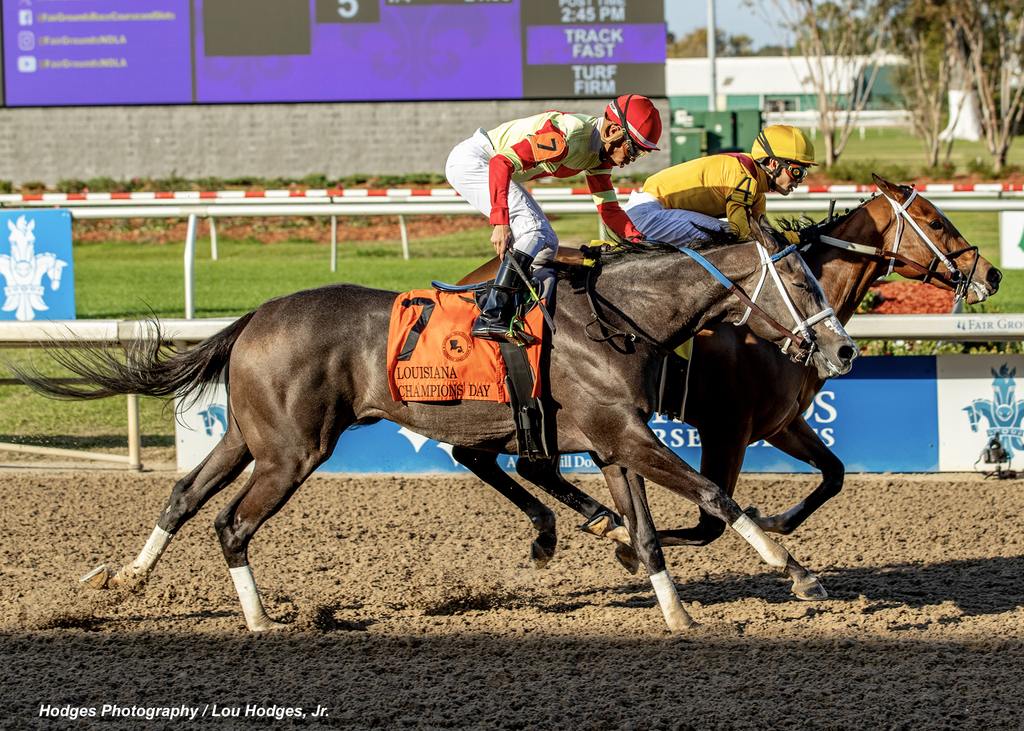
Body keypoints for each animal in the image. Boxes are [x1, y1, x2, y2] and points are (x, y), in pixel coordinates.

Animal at [16, 234, 856, 630]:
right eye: (801, 280)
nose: (844, 348)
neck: (617, 317)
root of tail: (253, 317)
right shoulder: (621, 431)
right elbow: (716, 492)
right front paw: (795, 570)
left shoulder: (614, 438)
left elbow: (649, 530)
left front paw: (674, 608)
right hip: (291, 451)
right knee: (230, 521)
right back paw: (260, 618)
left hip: (248, 437)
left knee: (186, 495)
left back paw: (127, 577)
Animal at [454, 174, 999, 565]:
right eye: (936, 221)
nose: (991, 274)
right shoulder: (726, 428)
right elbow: (709, 522)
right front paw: (631, 547)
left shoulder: (781, 423)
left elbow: (834, 475)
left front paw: (774, 521)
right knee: (505, 457)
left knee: (500, 457)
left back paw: (559, 528)